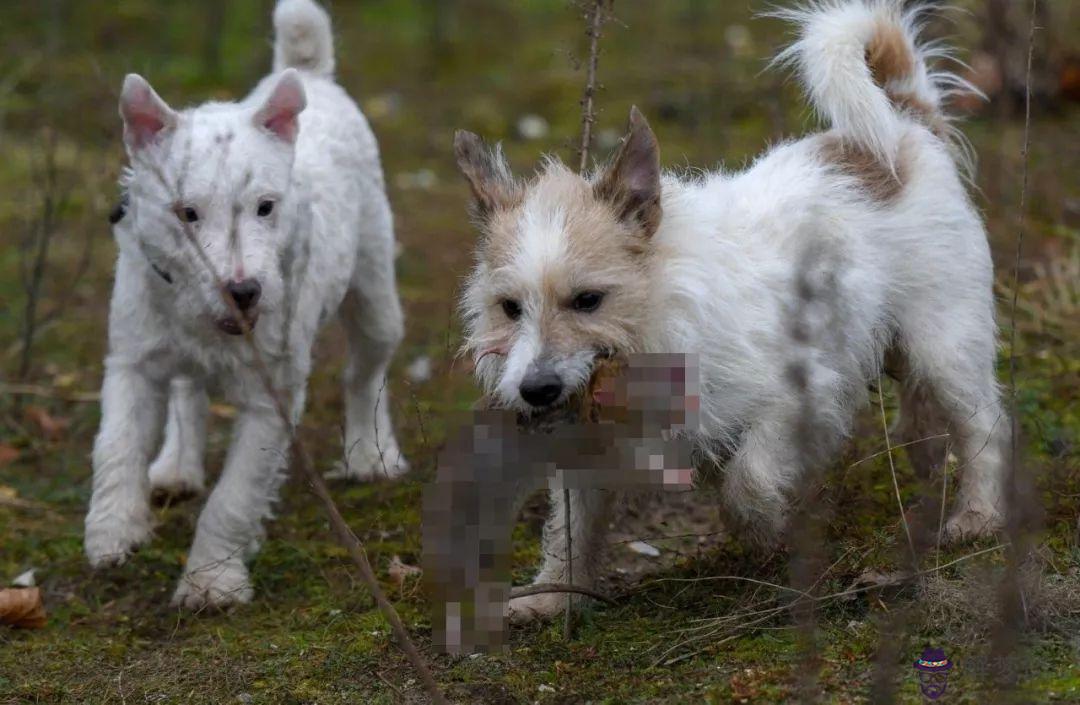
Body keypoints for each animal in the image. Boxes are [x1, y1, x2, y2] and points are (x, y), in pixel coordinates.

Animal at [86, 0, 406, 604]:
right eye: (186, 213)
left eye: (265, 207)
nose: (243, 291)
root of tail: (310, 74)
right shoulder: (132, 362)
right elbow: (117, 445)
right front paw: (113, 529)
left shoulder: (270, 398)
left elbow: (233, 497)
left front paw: (211, 581)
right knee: (187, 390)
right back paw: (175, 465)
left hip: (376, 295)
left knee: (365, 373)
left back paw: (369, 453)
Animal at [451, 0, 1006, 617]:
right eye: (509, 308)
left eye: (588, 300)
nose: (534, 390)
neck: (653, 329)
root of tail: (907, 124)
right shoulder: (589, 450)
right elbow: (571, 528)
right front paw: (554, 596)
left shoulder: (799, 394)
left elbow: (750, 480)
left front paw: (767, 532)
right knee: (927, 423)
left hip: (945, 346)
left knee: (983, 427)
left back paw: (977, 514)